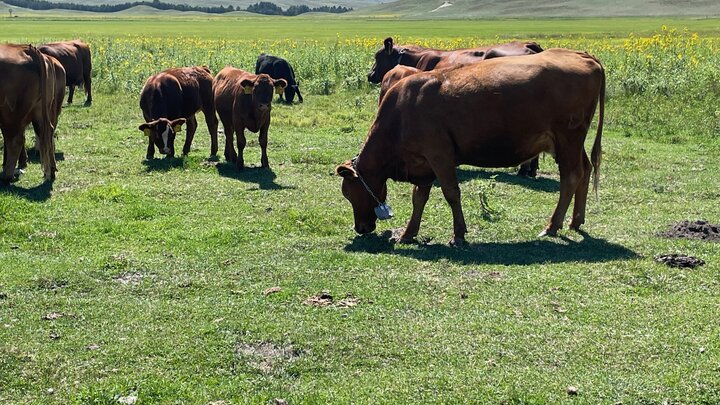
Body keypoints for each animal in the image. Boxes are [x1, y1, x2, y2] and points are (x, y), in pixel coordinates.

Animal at [0, 44, 59, 181]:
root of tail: (27, 49)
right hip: (41, 112)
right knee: (47, 134)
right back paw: (51, 170)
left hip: (10, 116)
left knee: (15, 141)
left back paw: (7, 176)